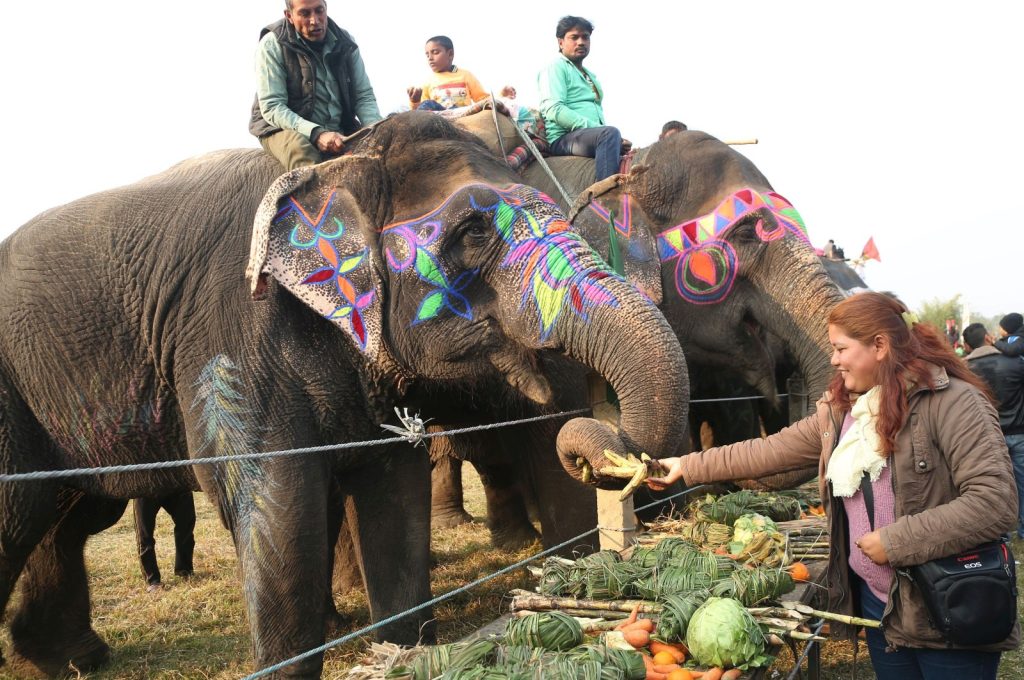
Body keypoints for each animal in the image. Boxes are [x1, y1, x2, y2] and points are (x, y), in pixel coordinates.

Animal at [0, 112, 689, 677]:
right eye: (470, 232)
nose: (594, 445)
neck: (348, 158)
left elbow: (393, 488)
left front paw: (405, 651)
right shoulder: (231, 331)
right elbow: (272, 495)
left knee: (64, 516)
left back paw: (69, 659)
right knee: (22, 511)